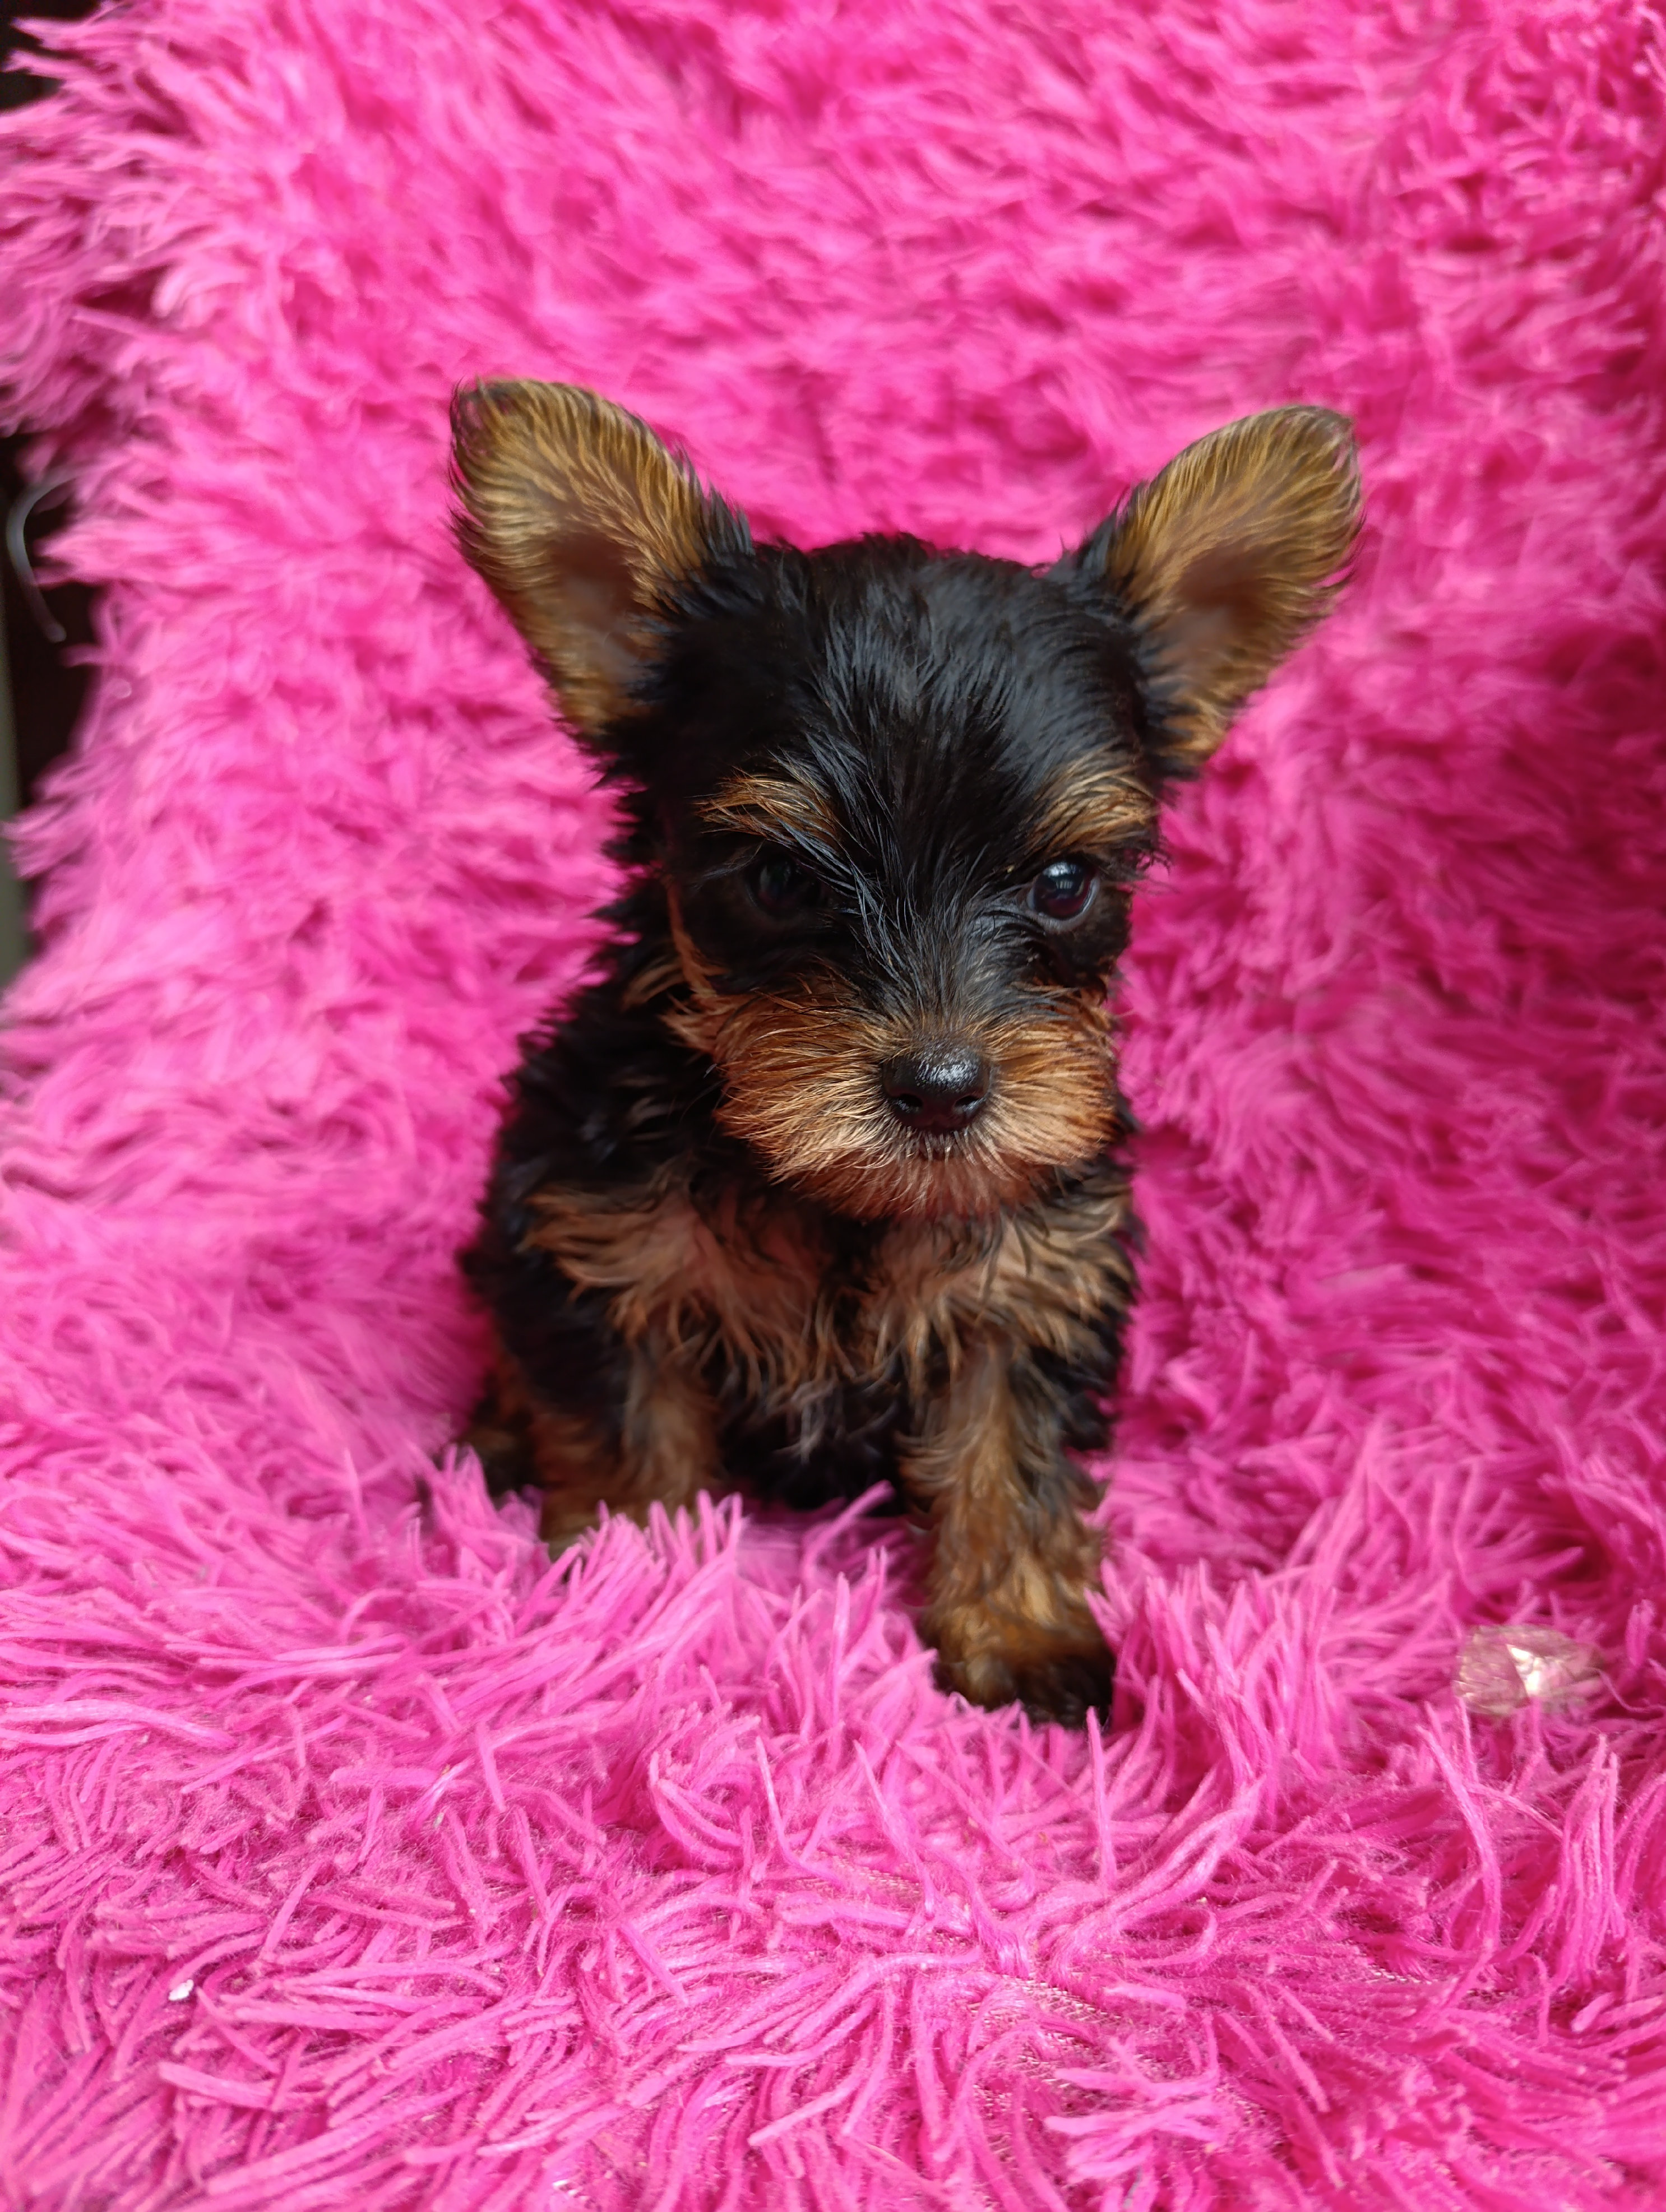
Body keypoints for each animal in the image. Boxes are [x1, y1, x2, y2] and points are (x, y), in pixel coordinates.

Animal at [449, 384, 1354, 1725]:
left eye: (1063, 883)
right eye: (779, 881)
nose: (940, 1089)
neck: (832, 1190)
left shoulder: (1033, 1277)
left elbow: (1005, 1451)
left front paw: (1016, 1622)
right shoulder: (599, 1246)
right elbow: (628, 1434)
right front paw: (640, 1594)